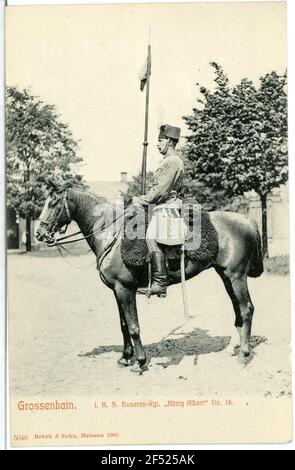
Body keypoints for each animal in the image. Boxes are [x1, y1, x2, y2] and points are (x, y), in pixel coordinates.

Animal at [35, 182, 264, 372]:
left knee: (246, 309)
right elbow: (124, 325)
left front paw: (140, 361)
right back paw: (233, 348)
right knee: (237, 309)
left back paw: (244, 355)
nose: (39, 233)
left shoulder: (125, 288)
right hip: (225, 276)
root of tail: (246, 219)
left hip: (236, 276)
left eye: (52, 203)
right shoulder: (117, 291)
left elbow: (134, 326)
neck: (112, 235)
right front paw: (125, 358)